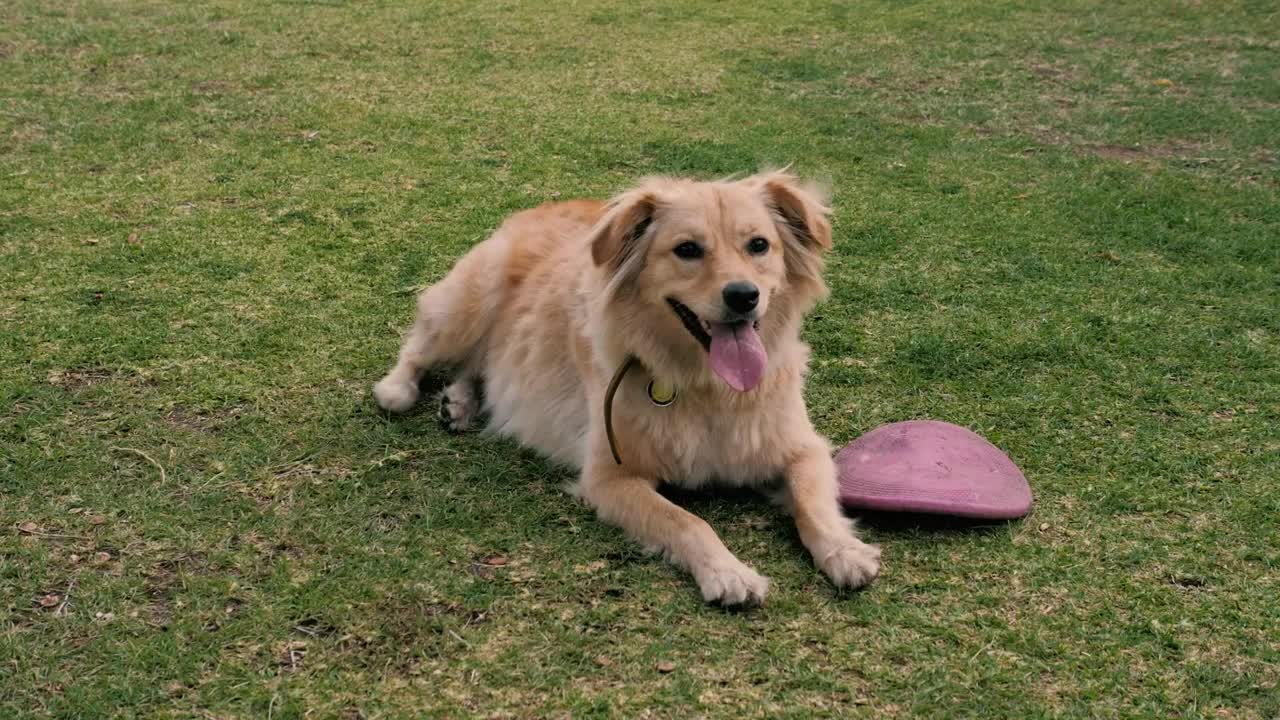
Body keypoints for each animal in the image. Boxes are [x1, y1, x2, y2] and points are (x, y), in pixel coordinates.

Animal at [373, 167, 885, 599]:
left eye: (759, 245)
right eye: (687, 249)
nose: (744, 296)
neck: (706, 386)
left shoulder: (802, 448)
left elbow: (813, 503)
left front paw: (844, 551)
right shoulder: (610, 478)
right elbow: (686, 521)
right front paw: (728, 572)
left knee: (481, 366)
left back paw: (459, 402)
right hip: (469, 303)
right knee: (421, 347)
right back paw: (400, 388)